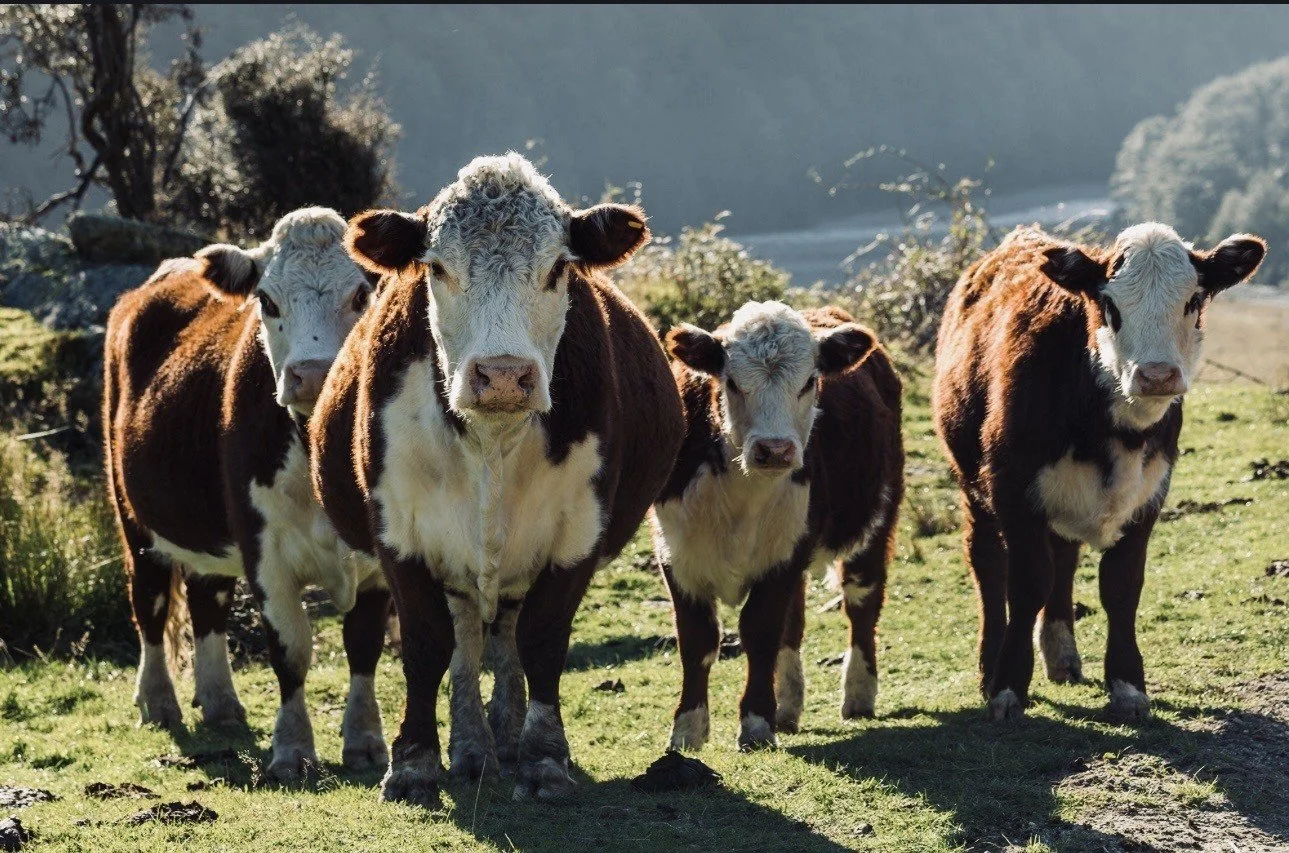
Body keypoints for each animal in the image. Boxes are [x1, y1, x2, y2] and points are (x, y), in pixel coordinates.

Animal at [103, 207, 391, 780]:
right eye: (268, 300)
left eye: (360, 295)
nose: (312, 375)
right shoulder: (265, 554)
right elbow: (291, 648)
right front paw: (292, 750)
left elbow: (364, 644)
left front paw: (366, 741)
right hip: (133, 515)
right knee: (148, 601)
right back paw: (158, 701)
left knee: (206, 600)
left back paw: (219, 703)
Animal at [310, 153, 685, 805]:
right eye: (436, 267)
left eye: (559, 267)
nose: (504, 375)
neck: (491, 441)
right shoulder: (397, 530)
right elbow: (427, 643)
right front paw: (413, 762)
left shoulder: (579, 530)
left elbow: (542, 638)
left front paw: (542, 757)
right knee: (465, 637)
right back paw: (471, 749)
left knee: (505, 631)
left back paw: (503, 739)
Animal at [654, 301, 904, 750]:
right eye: (732, 382)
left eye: (809, 382)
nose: (775, 450)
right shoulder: (676, 553)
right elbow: (698, 640)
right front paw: (687, 729)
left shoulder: (787, 554)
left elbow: (761, 631)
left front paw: (755, 724)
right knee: (796, 623)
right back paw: (788, 706)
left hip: (875, 520)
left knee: (862, 602)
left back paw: (858, 694)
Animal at [933, 223, 1267, 721]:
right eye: (1110, 304)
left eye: (1193, 299)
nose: (1157, 375)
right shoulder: (1012, 488)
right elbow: (1027, 582)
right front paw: (1007, 687)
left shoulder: (1150, 493)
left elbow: (1121, 586)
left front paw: (1127, 686)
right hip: (972, 483)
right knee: (988, 564)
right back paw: (989, 666)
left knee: (1063, 557)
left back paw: (1061, 655)